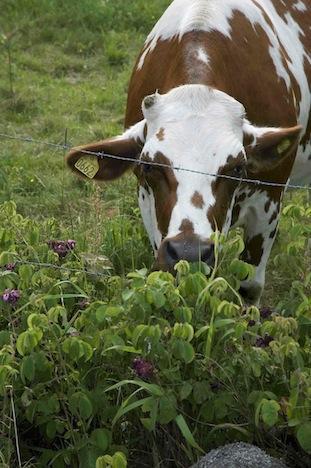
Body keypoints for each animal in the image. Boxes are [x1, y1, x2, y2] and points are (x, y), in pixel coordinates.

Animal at [67, 0, 310, 306]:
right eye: (149, 167)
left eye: (237, 169)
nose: (189, 251)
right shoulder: (148, 205)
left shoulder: (269, 201)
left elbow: (250, 286)